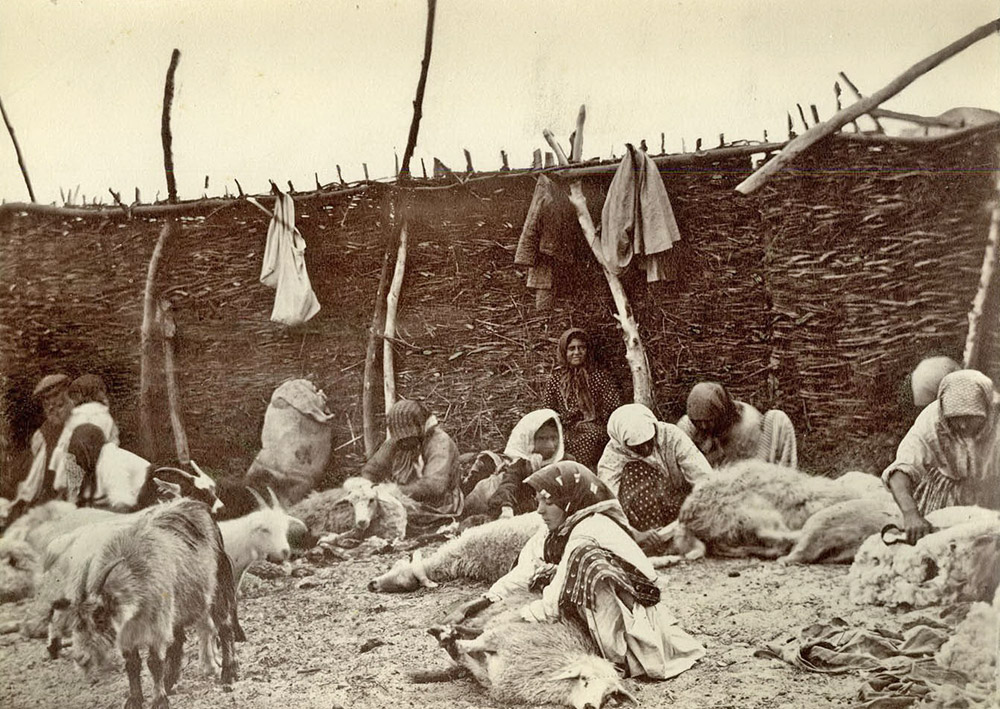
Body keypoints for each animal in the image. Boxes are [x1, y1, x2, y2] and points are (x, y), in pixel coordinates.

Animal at [66, 498, 238, 708]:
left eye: (100, 618)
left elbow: (154, 663)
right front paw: (135, 699)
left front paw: (159, 700)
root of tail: (197, 505)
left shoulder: (156, 626)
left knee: (224, 626)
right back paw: (170, 682)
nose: (80, 658)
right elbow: (132, 664)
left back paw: (229, 673)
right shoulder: (127, 634)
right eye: (75, 623)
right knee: (178, 641)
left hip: (217, 586)